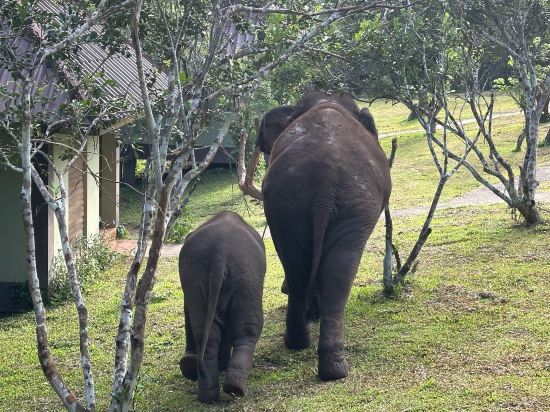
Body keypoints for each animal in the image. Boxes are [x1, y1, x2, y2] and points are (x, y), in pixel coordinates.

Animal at [179, 212, 268, 402]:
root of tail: (219, 255)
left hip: (199, 277)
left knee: (207, 333)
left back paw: (210, 396)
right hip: (246, 275)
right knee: (248, 330)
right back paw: (234, 389)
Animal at [258, 91, 392, 382]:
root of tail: (324, 186)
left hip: (290, 205)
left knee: (302, 269)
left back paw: (309, 351)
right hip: (351, 204)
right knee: (336, 274)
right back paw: (326, 362)